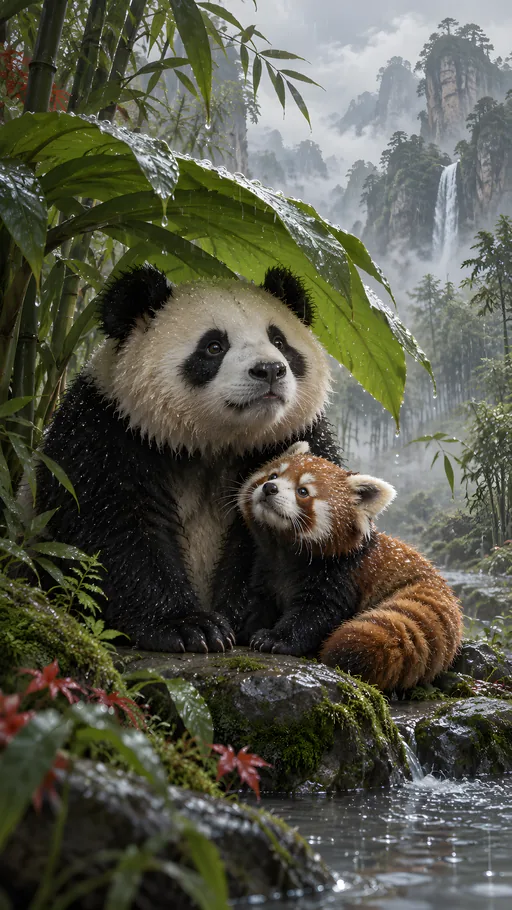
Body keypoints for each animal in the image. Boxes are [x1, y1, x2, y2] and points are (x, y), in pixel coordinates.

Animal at [35, 264, 340, 653]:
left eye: (279, 341)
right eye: (214, 347)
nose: (270, 369)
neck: (212, 441)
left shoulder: (294, 438)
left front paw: (245, 615)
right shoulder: (107, 430)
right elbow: (114, 526)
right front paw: (190, 627)